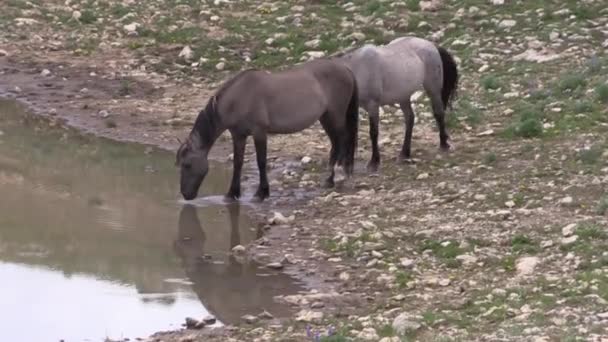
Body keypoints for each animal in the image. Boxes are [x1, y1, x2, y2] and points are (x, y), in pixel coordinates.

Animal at [173, 59, 358, 200]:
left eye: (187, 165)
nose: (185, 194)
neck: (239, 97)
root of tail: (345, 69)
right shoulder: (238, 135)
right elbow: (238, 162)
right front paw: (232, 193)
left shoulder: (259, 133)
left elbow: (261, 162)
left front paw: (262, 192)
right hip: (325, 118)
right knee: (335, 144)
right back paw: (330, 179)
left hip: (335, 115)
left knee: (343, 140)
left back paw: (337, 176)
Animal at [334, 35, 458, 171]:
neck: (358, 69)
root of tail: (432, 45)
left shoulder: (373, 106)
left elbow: (373, 133)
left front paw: (374, 162)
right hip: (403, 97)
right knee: (410, 119)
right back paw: (404, 153)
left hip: (433, 90)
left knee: (438, 113)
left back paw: (444, 144)